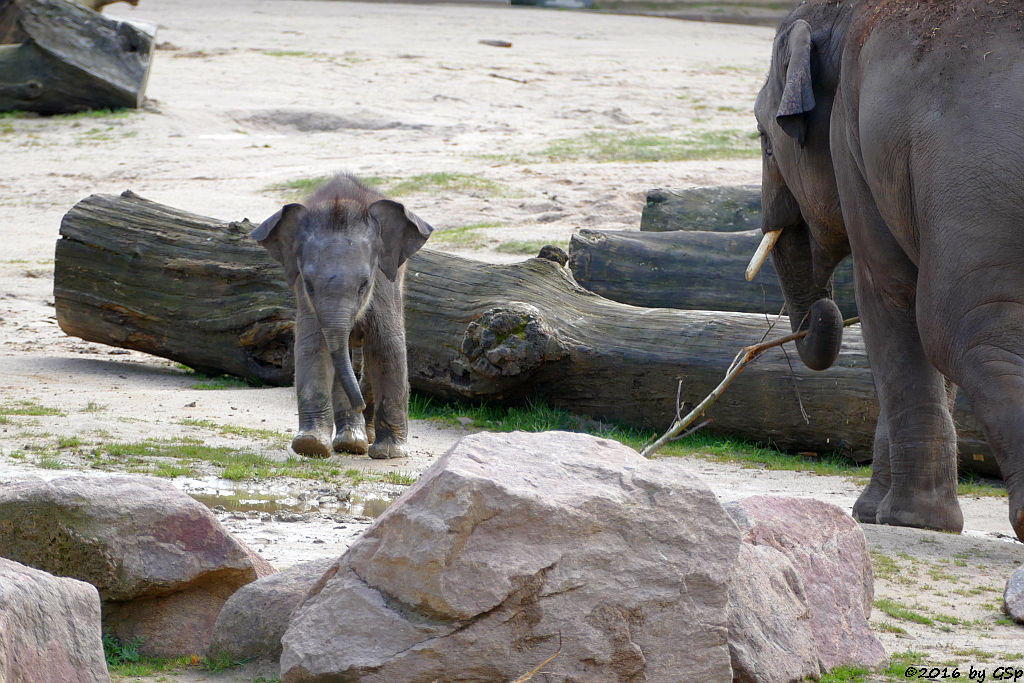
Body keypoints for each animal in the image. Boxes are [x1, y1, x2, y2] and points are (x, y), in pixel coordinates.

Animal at [256, 175, 436, 458]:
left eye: (364, 285)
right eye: (309, 285)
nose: (359, 405)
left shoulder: (384, 282)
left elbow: (387, 345)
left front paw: (389, 453)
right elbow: (311, 345)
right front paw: (310, 446)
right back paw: (352, 442)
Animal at [745, 2, 1024, 540]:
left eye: (766, 141)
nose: (826, 312)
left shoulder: (854, 144)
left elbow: (891, 295)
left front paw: (908, 519)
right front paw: (874, 513)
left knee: (967, 327)